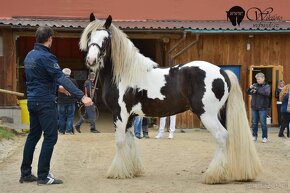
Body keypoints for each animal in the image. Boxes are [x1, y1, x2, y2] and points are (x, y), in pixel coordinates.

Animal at [79, 13, 262, 184]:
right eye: (90, 37)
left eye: (105, 39)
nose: (91, 60)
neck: (125, 74)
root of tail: (223, 72)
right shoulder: (130, 117)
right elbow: (130, 141)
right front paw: (132, 171)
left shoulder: (120, 114)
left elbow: (120, 142)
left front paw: (117, 172)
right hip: (219, 114)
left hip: (207, 115)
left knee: (222, 137)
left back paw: (214, 176)